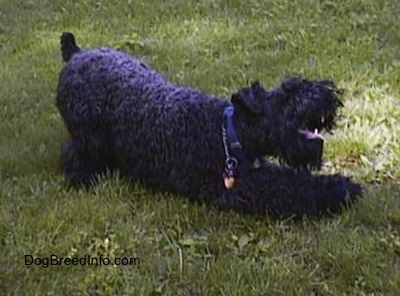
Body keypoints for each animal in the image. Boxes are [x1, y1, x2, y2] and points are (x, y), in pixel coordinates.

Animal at [57, 33, 362, 217]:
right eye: (288, 96)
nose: (328, 93)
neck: (228, 131)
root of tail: (76, 54)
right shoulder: (239, 187)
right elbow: (288, 186)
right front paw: (340, 188)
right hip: (88, 138)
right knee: (74, 153)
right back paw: (84, 177)